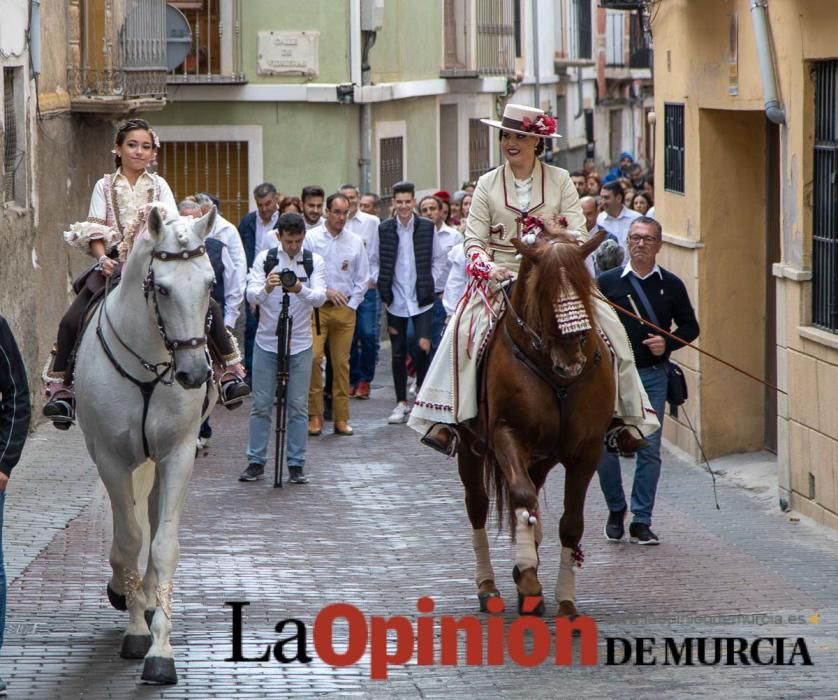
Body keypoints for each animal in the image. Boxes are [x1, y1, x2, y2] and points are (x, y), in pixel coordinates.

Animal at [75, 204, 218, 684]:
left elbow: (163, 542)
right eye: (163, 288)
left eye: (211, 284)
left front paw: (160, 650)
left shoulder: (178, 454)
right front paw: (136, 627)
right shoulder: (111, 459)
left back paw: (151, 597)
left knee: (154, 516)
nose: (194, 373)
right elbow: (129, 538)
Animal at [460, 228, 616, 616]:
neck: (555, 376)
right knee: (478, 505)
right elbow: (521, 495)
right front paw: (528, 578)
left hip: (543, 456)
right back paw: (489, 587)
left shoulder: (587, 449)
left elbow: (571, 524)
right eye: (543, 290)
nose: (571, 357)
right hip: (470, 448)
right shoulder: (505, 434)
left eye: (584, 284)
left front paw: (565, 600)